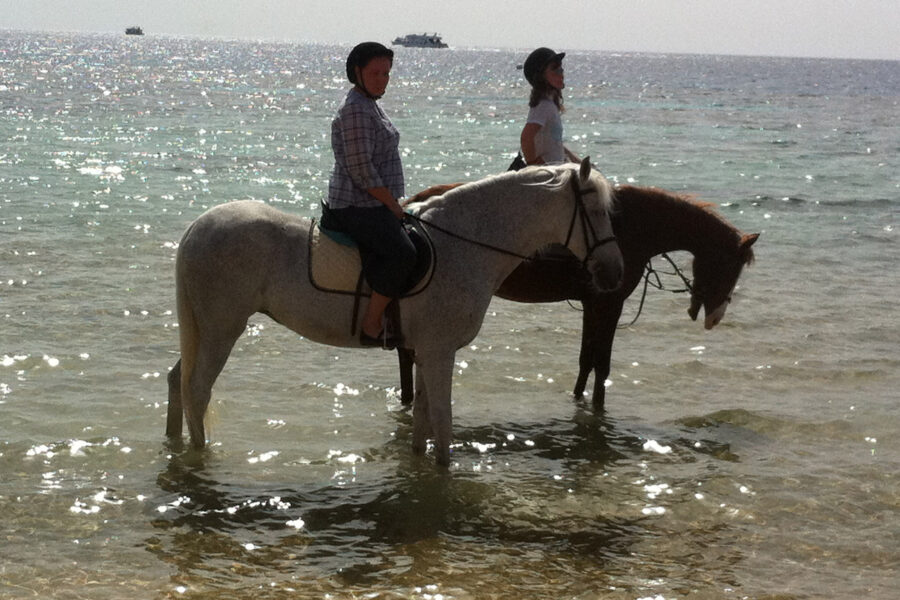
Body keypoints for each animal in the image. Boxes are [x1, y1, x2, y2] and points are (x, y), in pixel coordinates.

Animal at [165, 158, 624, 467]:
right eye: (595, 212)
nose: (613, 272)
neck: (464, 244)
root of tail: (196, 228)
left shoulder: (423, 352)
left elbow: (421, 421)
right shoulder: (440, 352)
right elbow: (442, 421)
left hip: (206, 329)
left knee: (178, 380)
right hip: (223, 329)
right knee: (197, 389)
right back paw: (200, 456)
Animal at [397, 183, 758, 408]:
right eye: (731, 268)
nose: (716, 317)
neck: (635, 225)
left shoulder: (593, 305)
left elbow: (587, 359)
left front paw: (577, 398)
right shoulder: (609, 304)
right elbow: (602, 363)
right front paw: (596, 406)